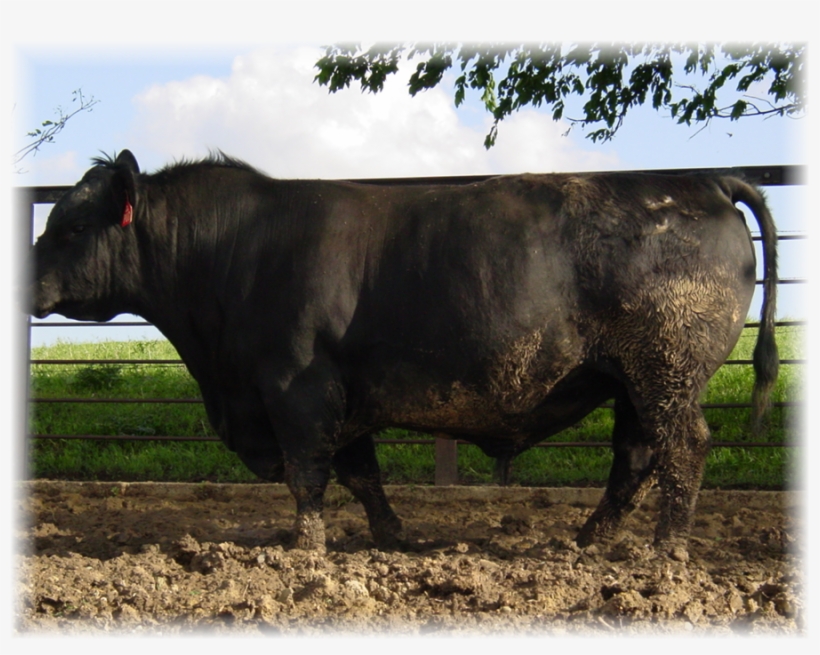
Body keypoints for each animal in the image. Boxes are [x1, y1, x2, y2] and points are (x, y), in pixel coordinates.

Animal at [30, 150, 778, 558]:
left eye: (70, 227)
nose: (27, 280)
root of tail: (706, 181)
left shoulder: (296, 386)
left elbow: (308, 473)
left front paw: (307, 547)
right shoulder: (342, 391)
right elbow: (361, 471)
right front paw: (393, 536)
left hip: (666, 371)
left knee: (683, 448)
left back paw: (665, 549)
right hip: (630, 381)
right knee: (636, 458)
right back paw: (588, 539)